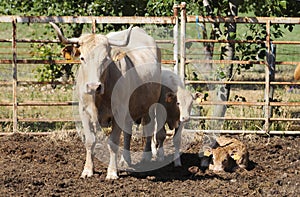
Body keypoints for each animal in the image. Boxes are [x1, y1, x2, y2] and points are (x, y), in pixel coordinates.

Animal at [49, 22, 162, 179]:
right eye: (82, 58)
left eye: (105, 59)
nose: (93, 86)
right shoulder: (84, 112)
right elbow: (90, 140)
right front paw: (88, 170)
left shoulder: (118, 112)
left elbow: (113, 142)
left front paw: (112, 172)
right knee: (128, 133)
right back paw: (125, 160)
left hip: (149, 106)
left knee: (148, 128)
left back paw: (146, 157)